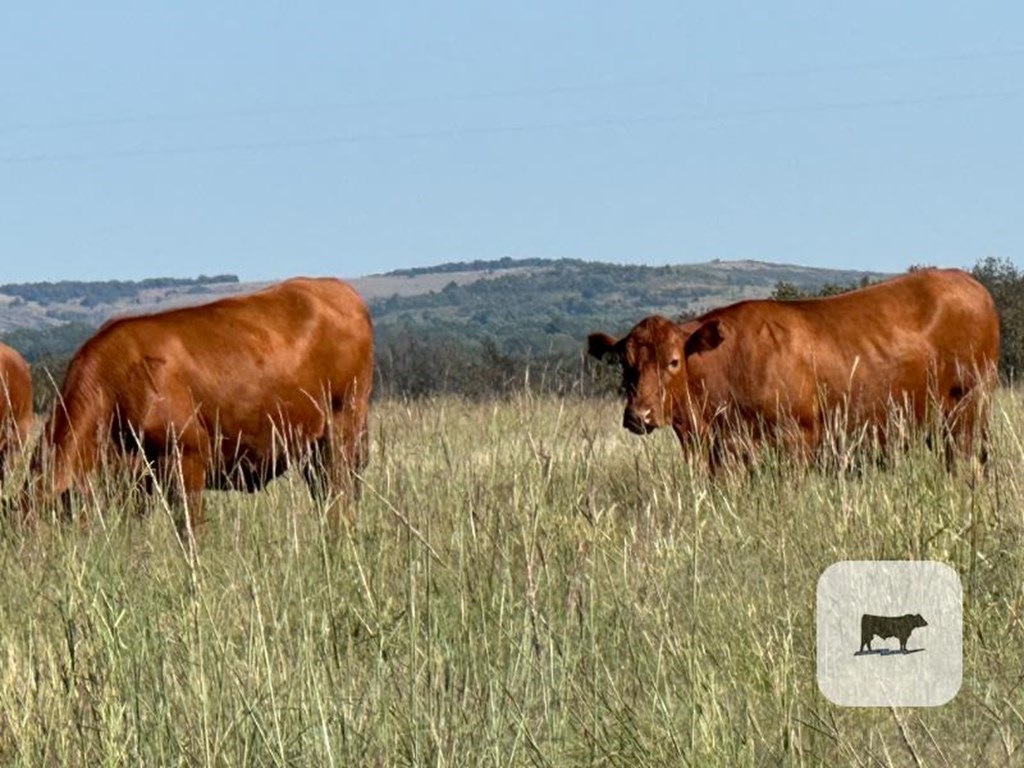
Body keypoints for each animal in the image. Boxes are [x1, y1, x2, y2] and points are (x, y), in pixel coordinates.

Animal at [30, 278, 376, 536]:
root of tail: (338, 289)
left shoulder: (187, 456)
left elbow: (191, 530)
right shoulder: (133, 479)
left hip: (341, 431)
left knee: (339, 498)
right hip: (312, 448)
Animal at [589, 270, 995, 468]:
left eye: (673, 361)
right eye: (625, 364)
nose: (638, 415)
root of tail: (967, 281)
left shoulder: (798, 438)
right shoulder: (722, 452)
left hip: (966, 411)